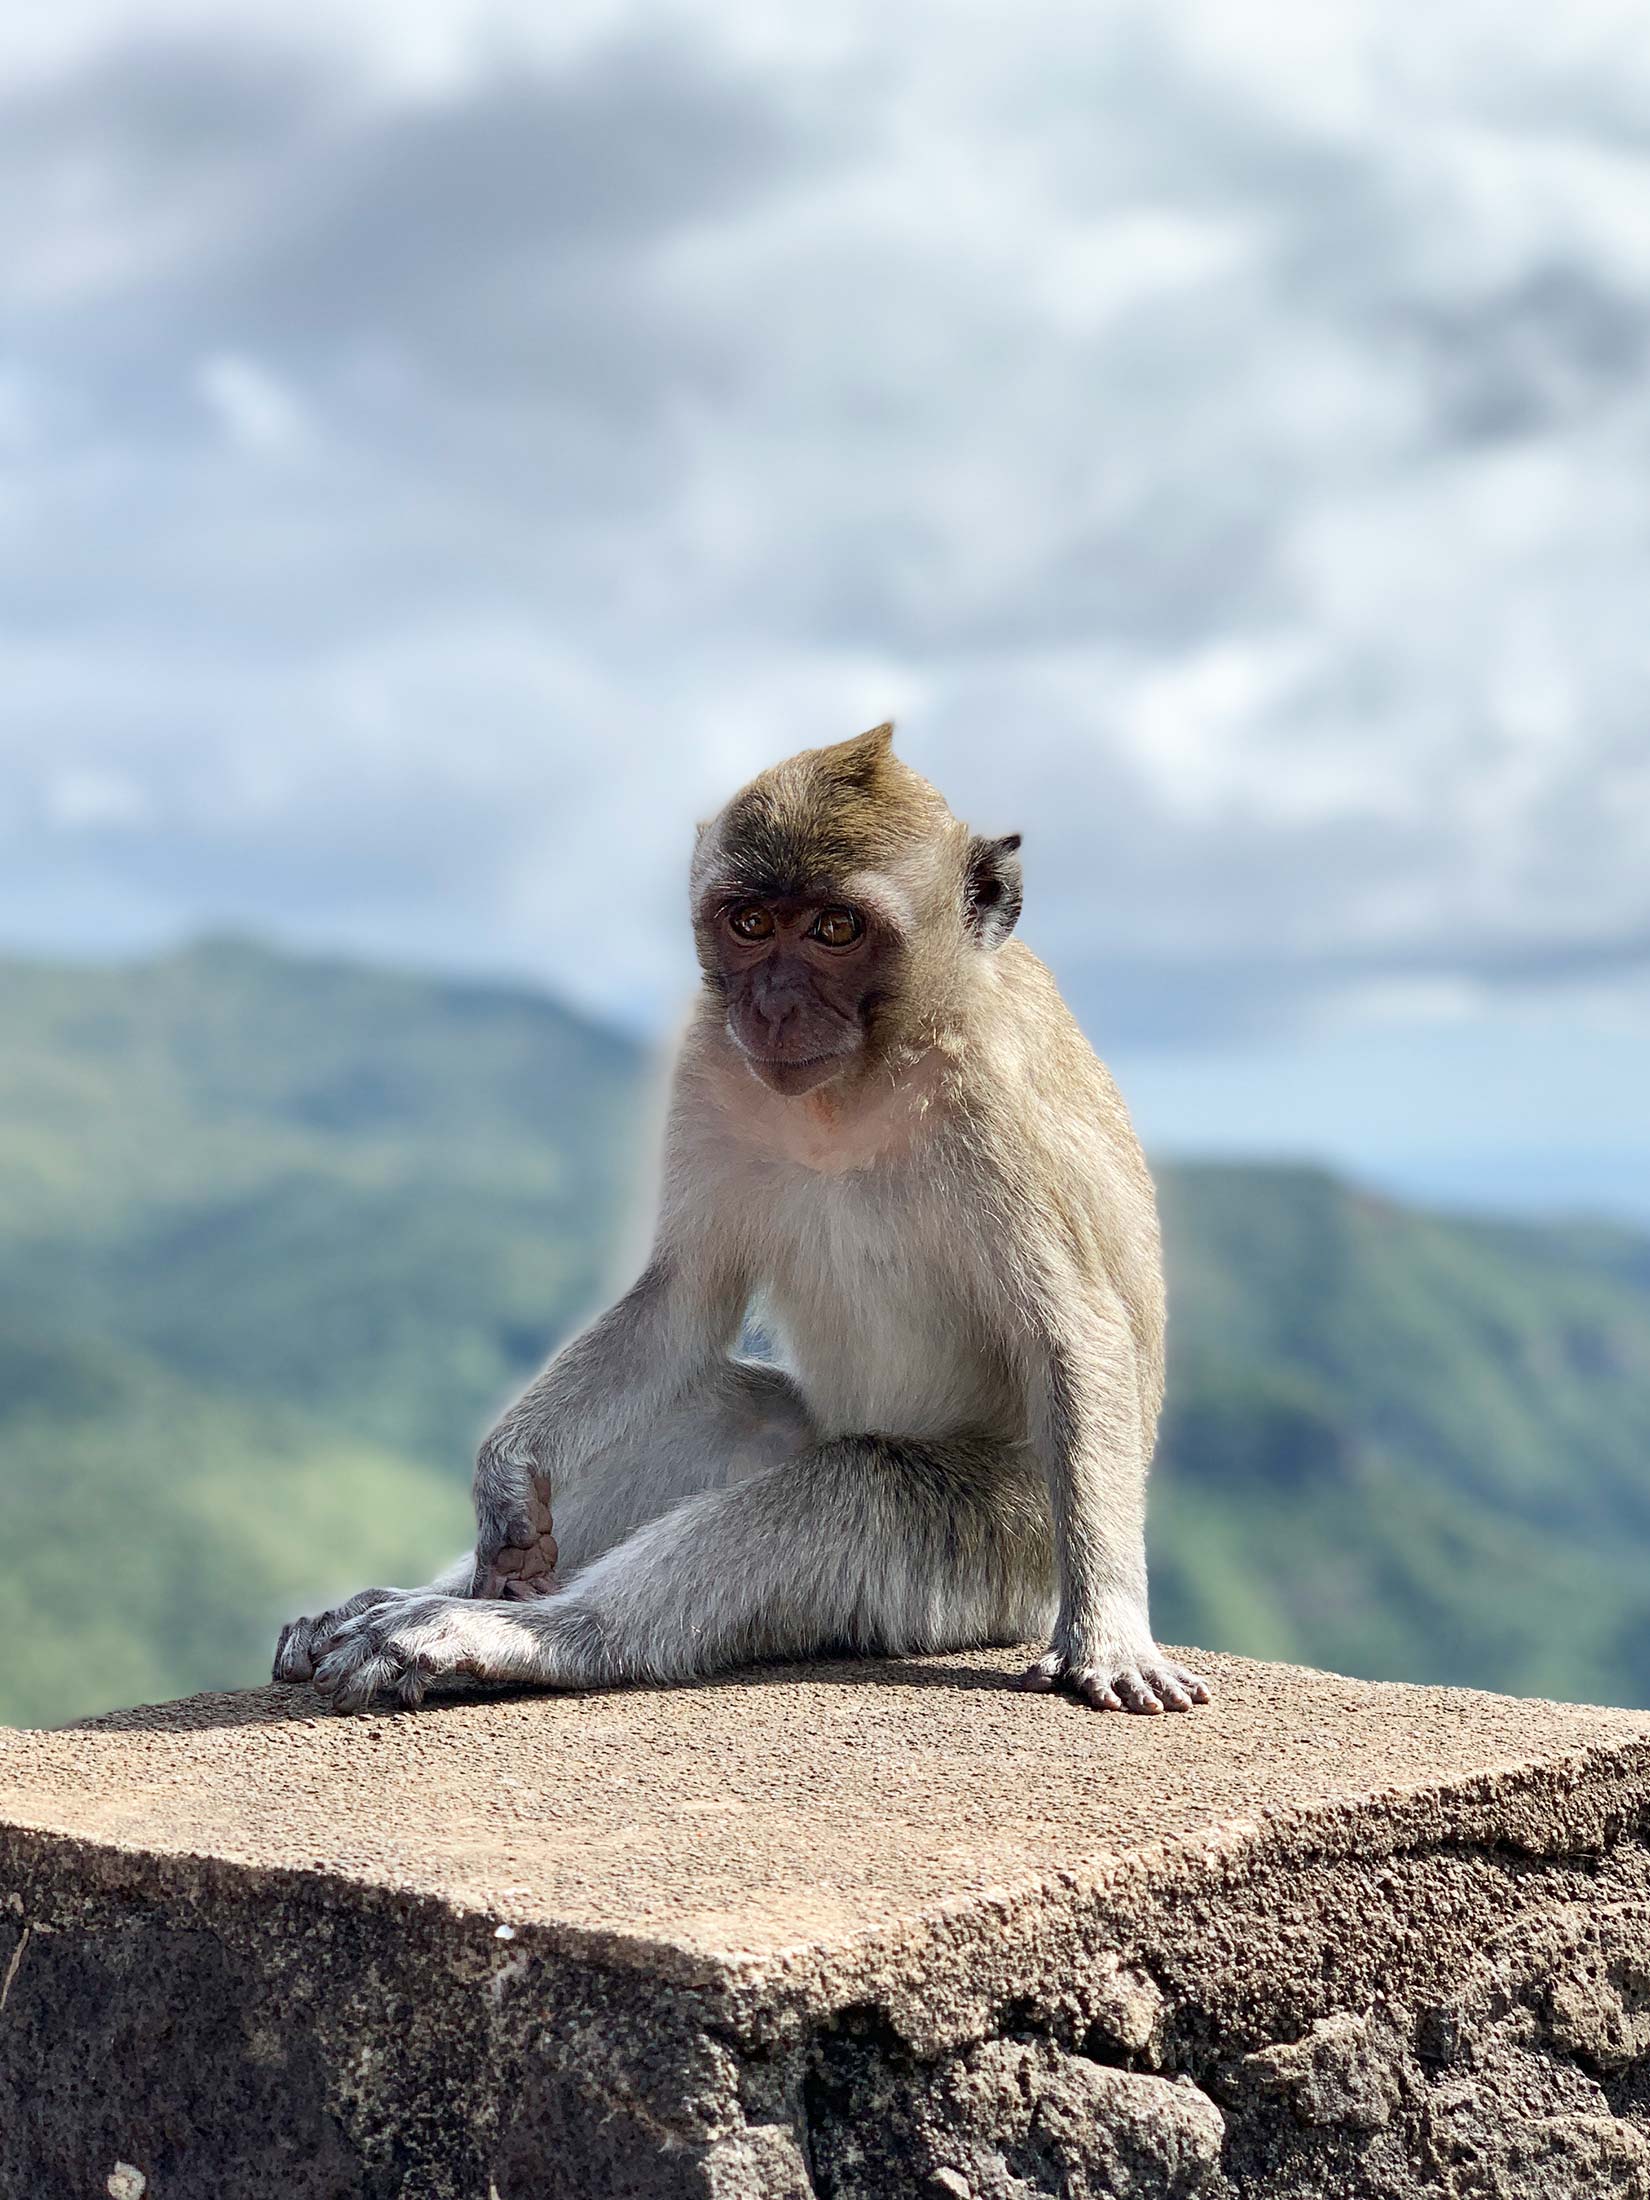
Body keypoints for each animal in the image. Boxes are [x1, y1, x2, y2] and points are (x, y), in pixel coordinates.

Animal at [273, 725, 1211, 1718]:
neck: (861, 1082)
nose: (773, 1005)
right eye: (751, 924)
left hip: (1011, 1549)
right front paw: (508, 1474)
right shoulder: (711, 1058)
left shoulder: (999, 1103)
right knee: (734, 1414)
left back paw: (537, 1635)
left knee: (860, 1487)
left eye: (836, 929)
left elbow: (1077, 1331)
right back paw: (411, 1603)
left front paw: (1110, 1634)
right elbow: (684, 1296)